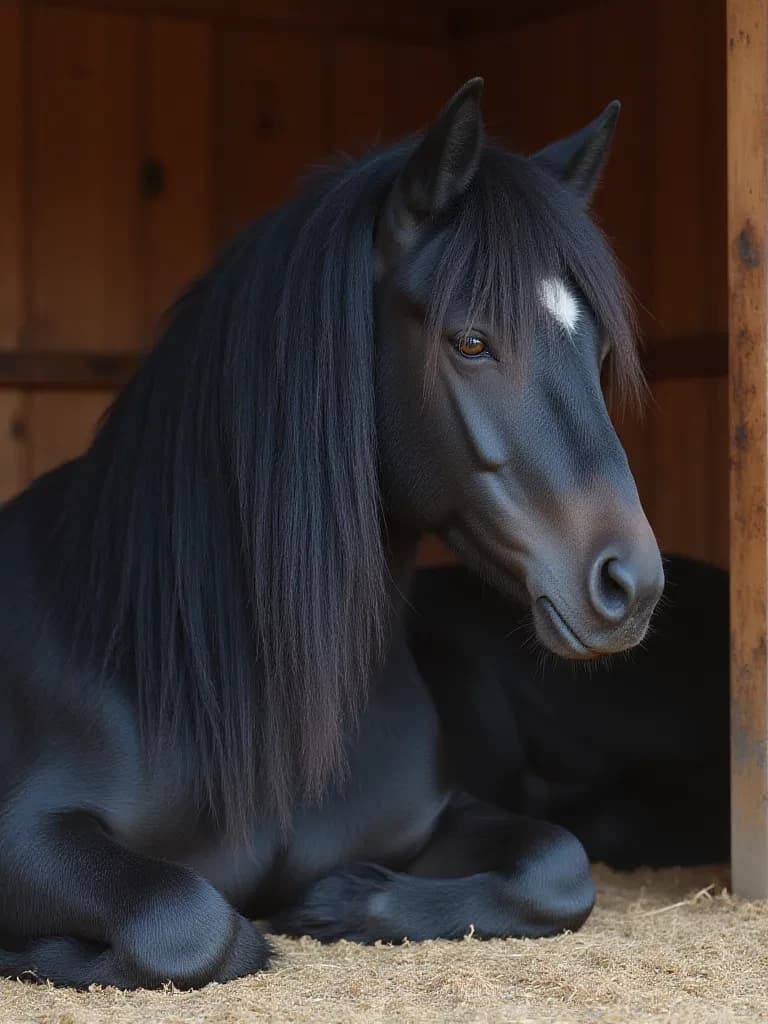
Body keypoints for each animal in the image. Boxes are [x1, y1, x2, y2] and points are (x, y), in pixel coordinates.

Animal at [0, 79, 664, 990]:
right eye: (470, 340)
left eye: (596, 349)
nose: (631, 585)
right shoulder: (30, 835)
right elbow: (188, 917)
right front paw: (37, 952)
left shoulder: (440, 816)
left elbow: (561, 867)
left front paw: (344, 900)